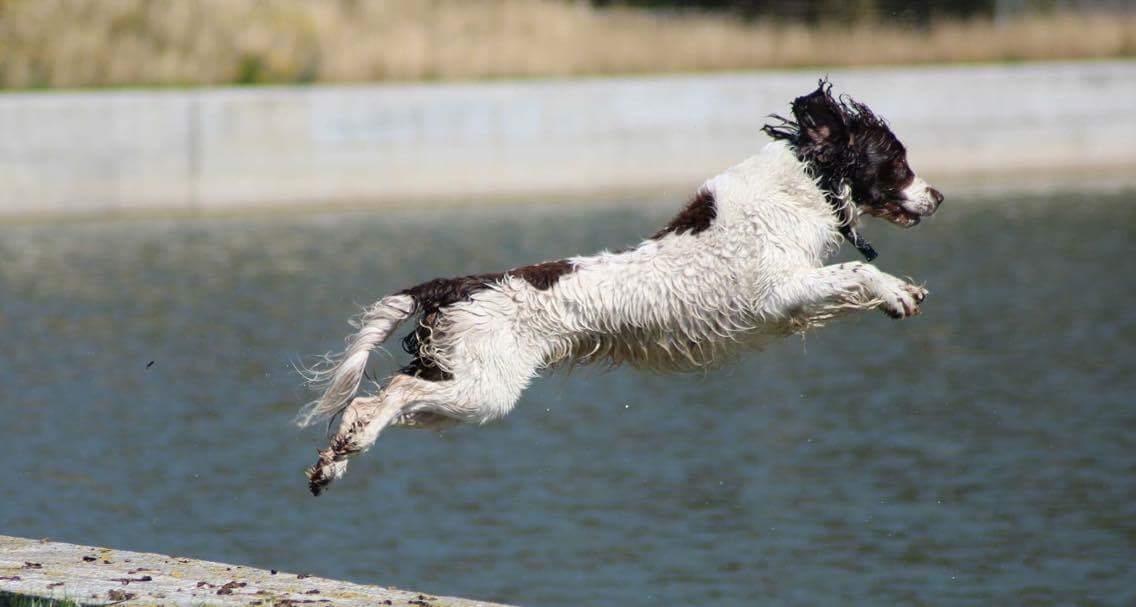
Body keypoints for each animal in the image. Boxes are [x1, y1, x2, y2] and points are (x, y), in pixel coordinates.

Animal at [297, 80, 945, 497]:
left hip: (458, 381)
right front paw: (899, 294)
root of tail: (458, 284)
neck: (801, 187)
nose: (938, 197)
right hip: (485, 389)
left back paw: (334, 461)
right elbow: (857, 273)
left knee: (374, 399)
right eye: (898, 161)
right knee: (387, 396)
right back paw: (344, 451)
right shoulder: (781, 293)